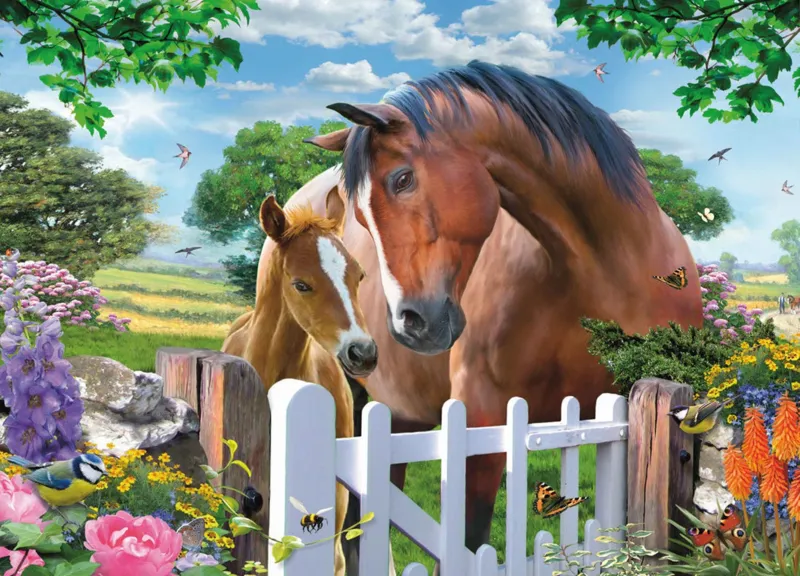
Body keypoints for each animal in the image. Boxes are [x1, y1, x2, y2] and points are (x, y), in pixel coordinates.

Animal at [300, 60, 702, 571]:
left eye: (403, 179)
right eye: (360, 216)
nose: (410, 325)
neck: (611, 271)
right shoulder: (482, 426)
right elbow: (468, 546)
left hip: (398, 415)